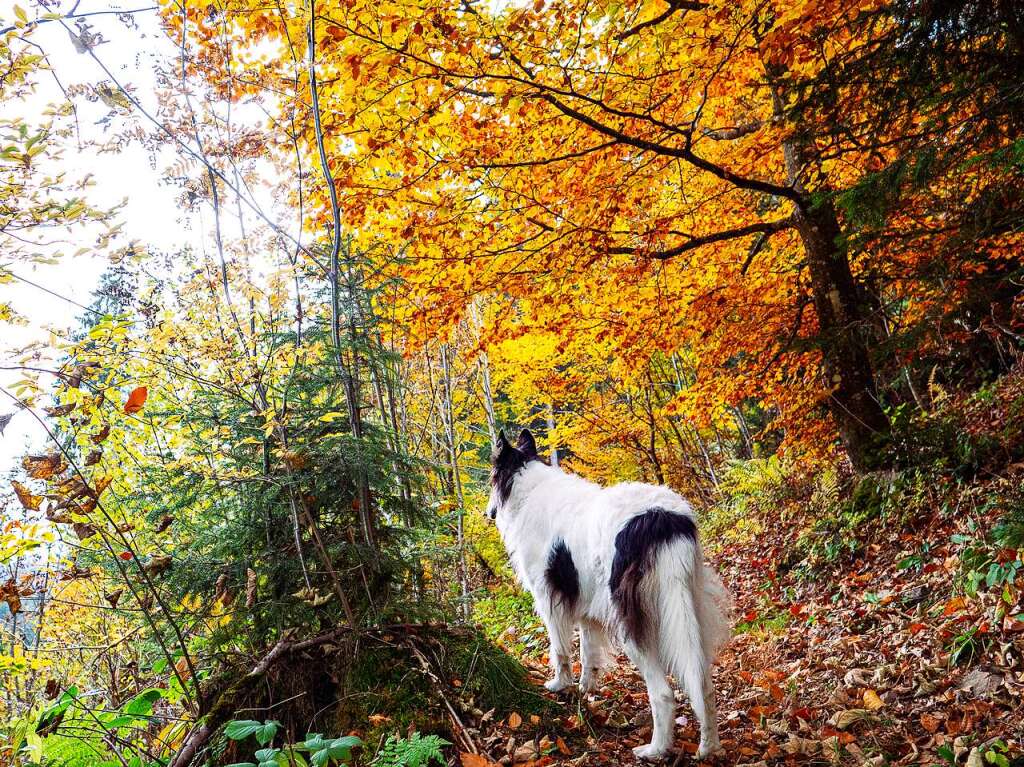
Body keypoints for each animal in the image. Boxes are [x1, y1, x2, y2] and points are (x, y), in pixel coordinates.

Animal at [485, 428, 733, 757]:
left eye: (491, 479)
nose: (487, 513)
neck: (527, 485)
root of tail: (660, 519)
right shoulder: (587, 609)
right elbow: (588, 654)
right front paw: (585, 689)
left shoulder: (549, 600)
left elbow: (560, 650)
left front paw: (560, 685)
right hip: (690, 606)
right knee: (703, 683)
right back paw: (709, 746)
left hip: (630, 622)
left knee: (663, 693)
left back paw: (655, 749)